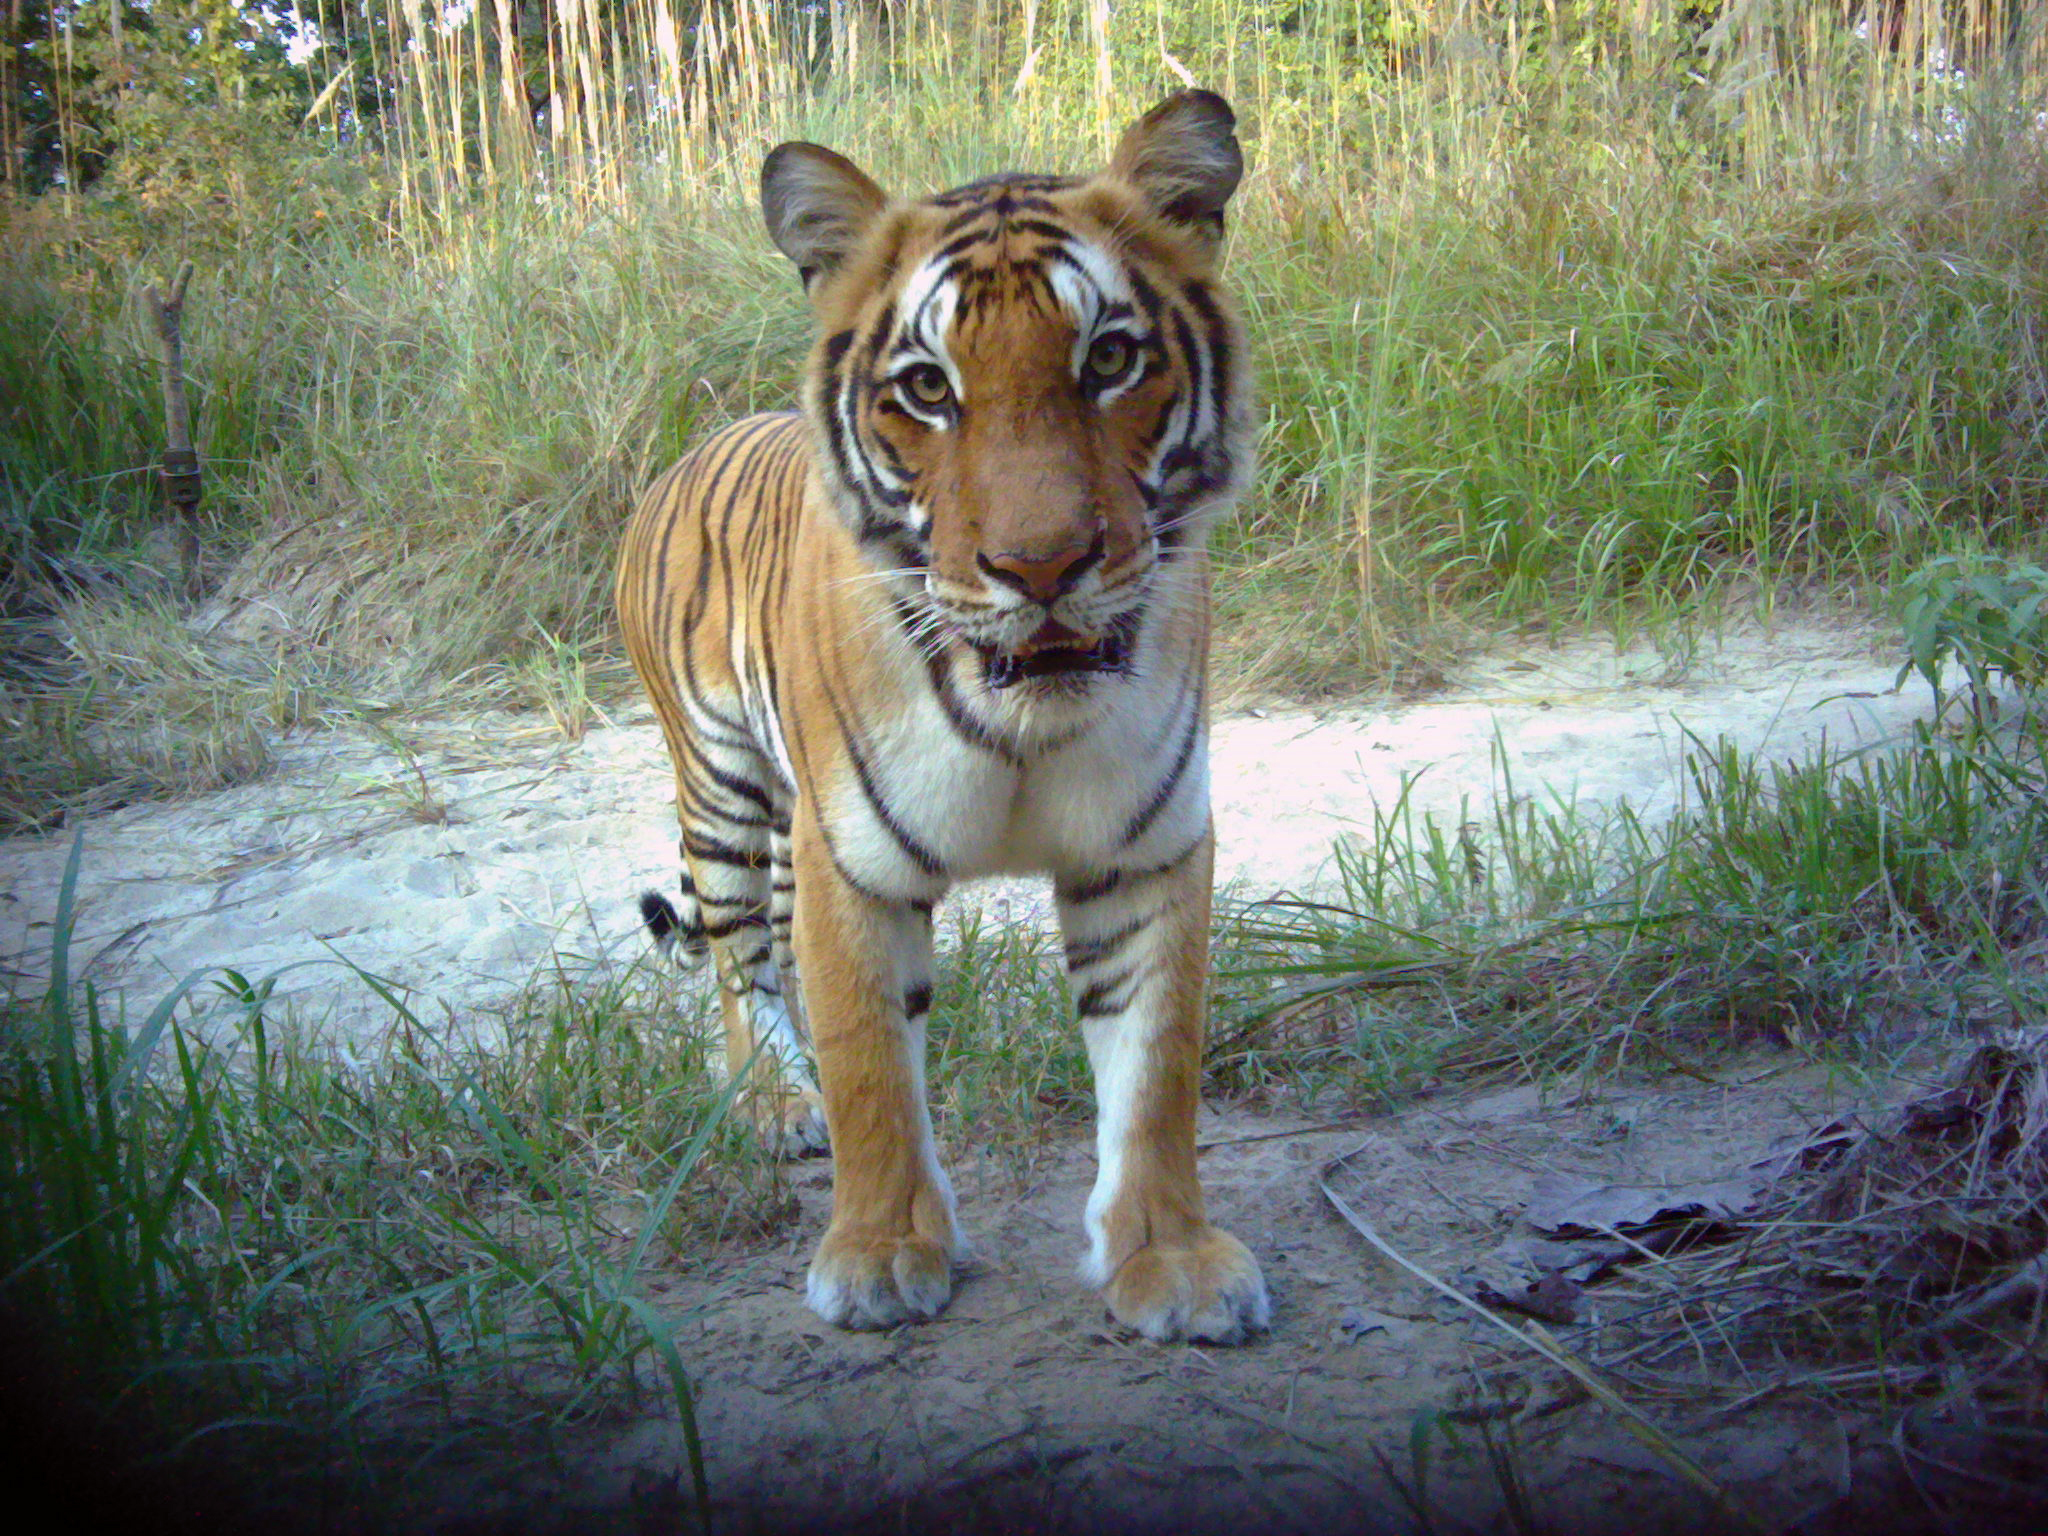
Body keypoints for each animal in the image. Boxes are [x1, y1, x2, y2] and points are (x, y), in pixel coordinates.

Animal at [614, 91, 1269, 1344]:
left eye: (1108, 359)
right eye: (927, 388)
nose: (1041, 565)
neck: (1024, 717)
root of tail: (686, 453)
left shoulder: (1143, 851)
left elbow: (1156, 1067)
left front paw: (1170, 1260)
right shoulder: (853, 866)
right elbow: (869, 1063)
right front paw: (876, 1257)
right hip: (721, 789)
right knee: (736, 963)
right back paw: (775, 1099)